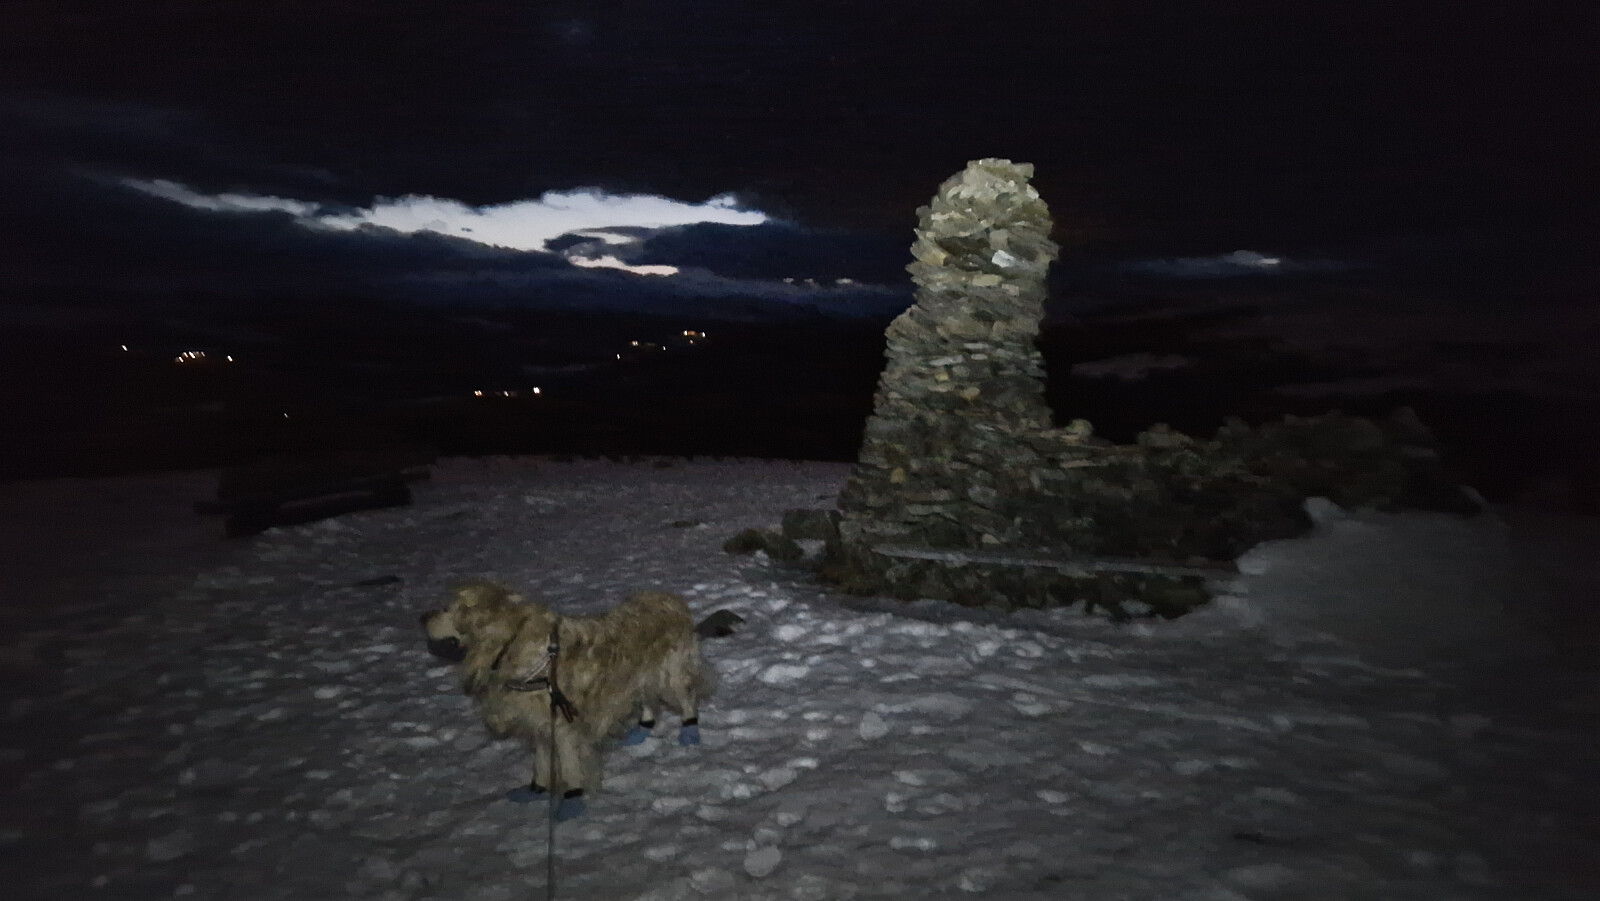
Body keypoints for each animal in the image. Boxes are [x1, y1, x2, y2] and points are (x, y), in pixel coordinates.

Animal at [419, 580, 734, 820]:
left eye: (447, 608)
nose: (421, 618)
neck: (513, 643)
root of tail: (672, 598)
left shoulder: (562, 722)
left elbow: (570, 766)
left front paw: (572, 801)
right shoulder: (541, 721)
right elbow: (541, 762)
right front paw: (536, 789)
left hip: (670, 672)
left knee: (687, 696)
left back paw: (689, 729)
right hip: (640, 676)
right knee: (647, 699)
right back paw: (641, 729)